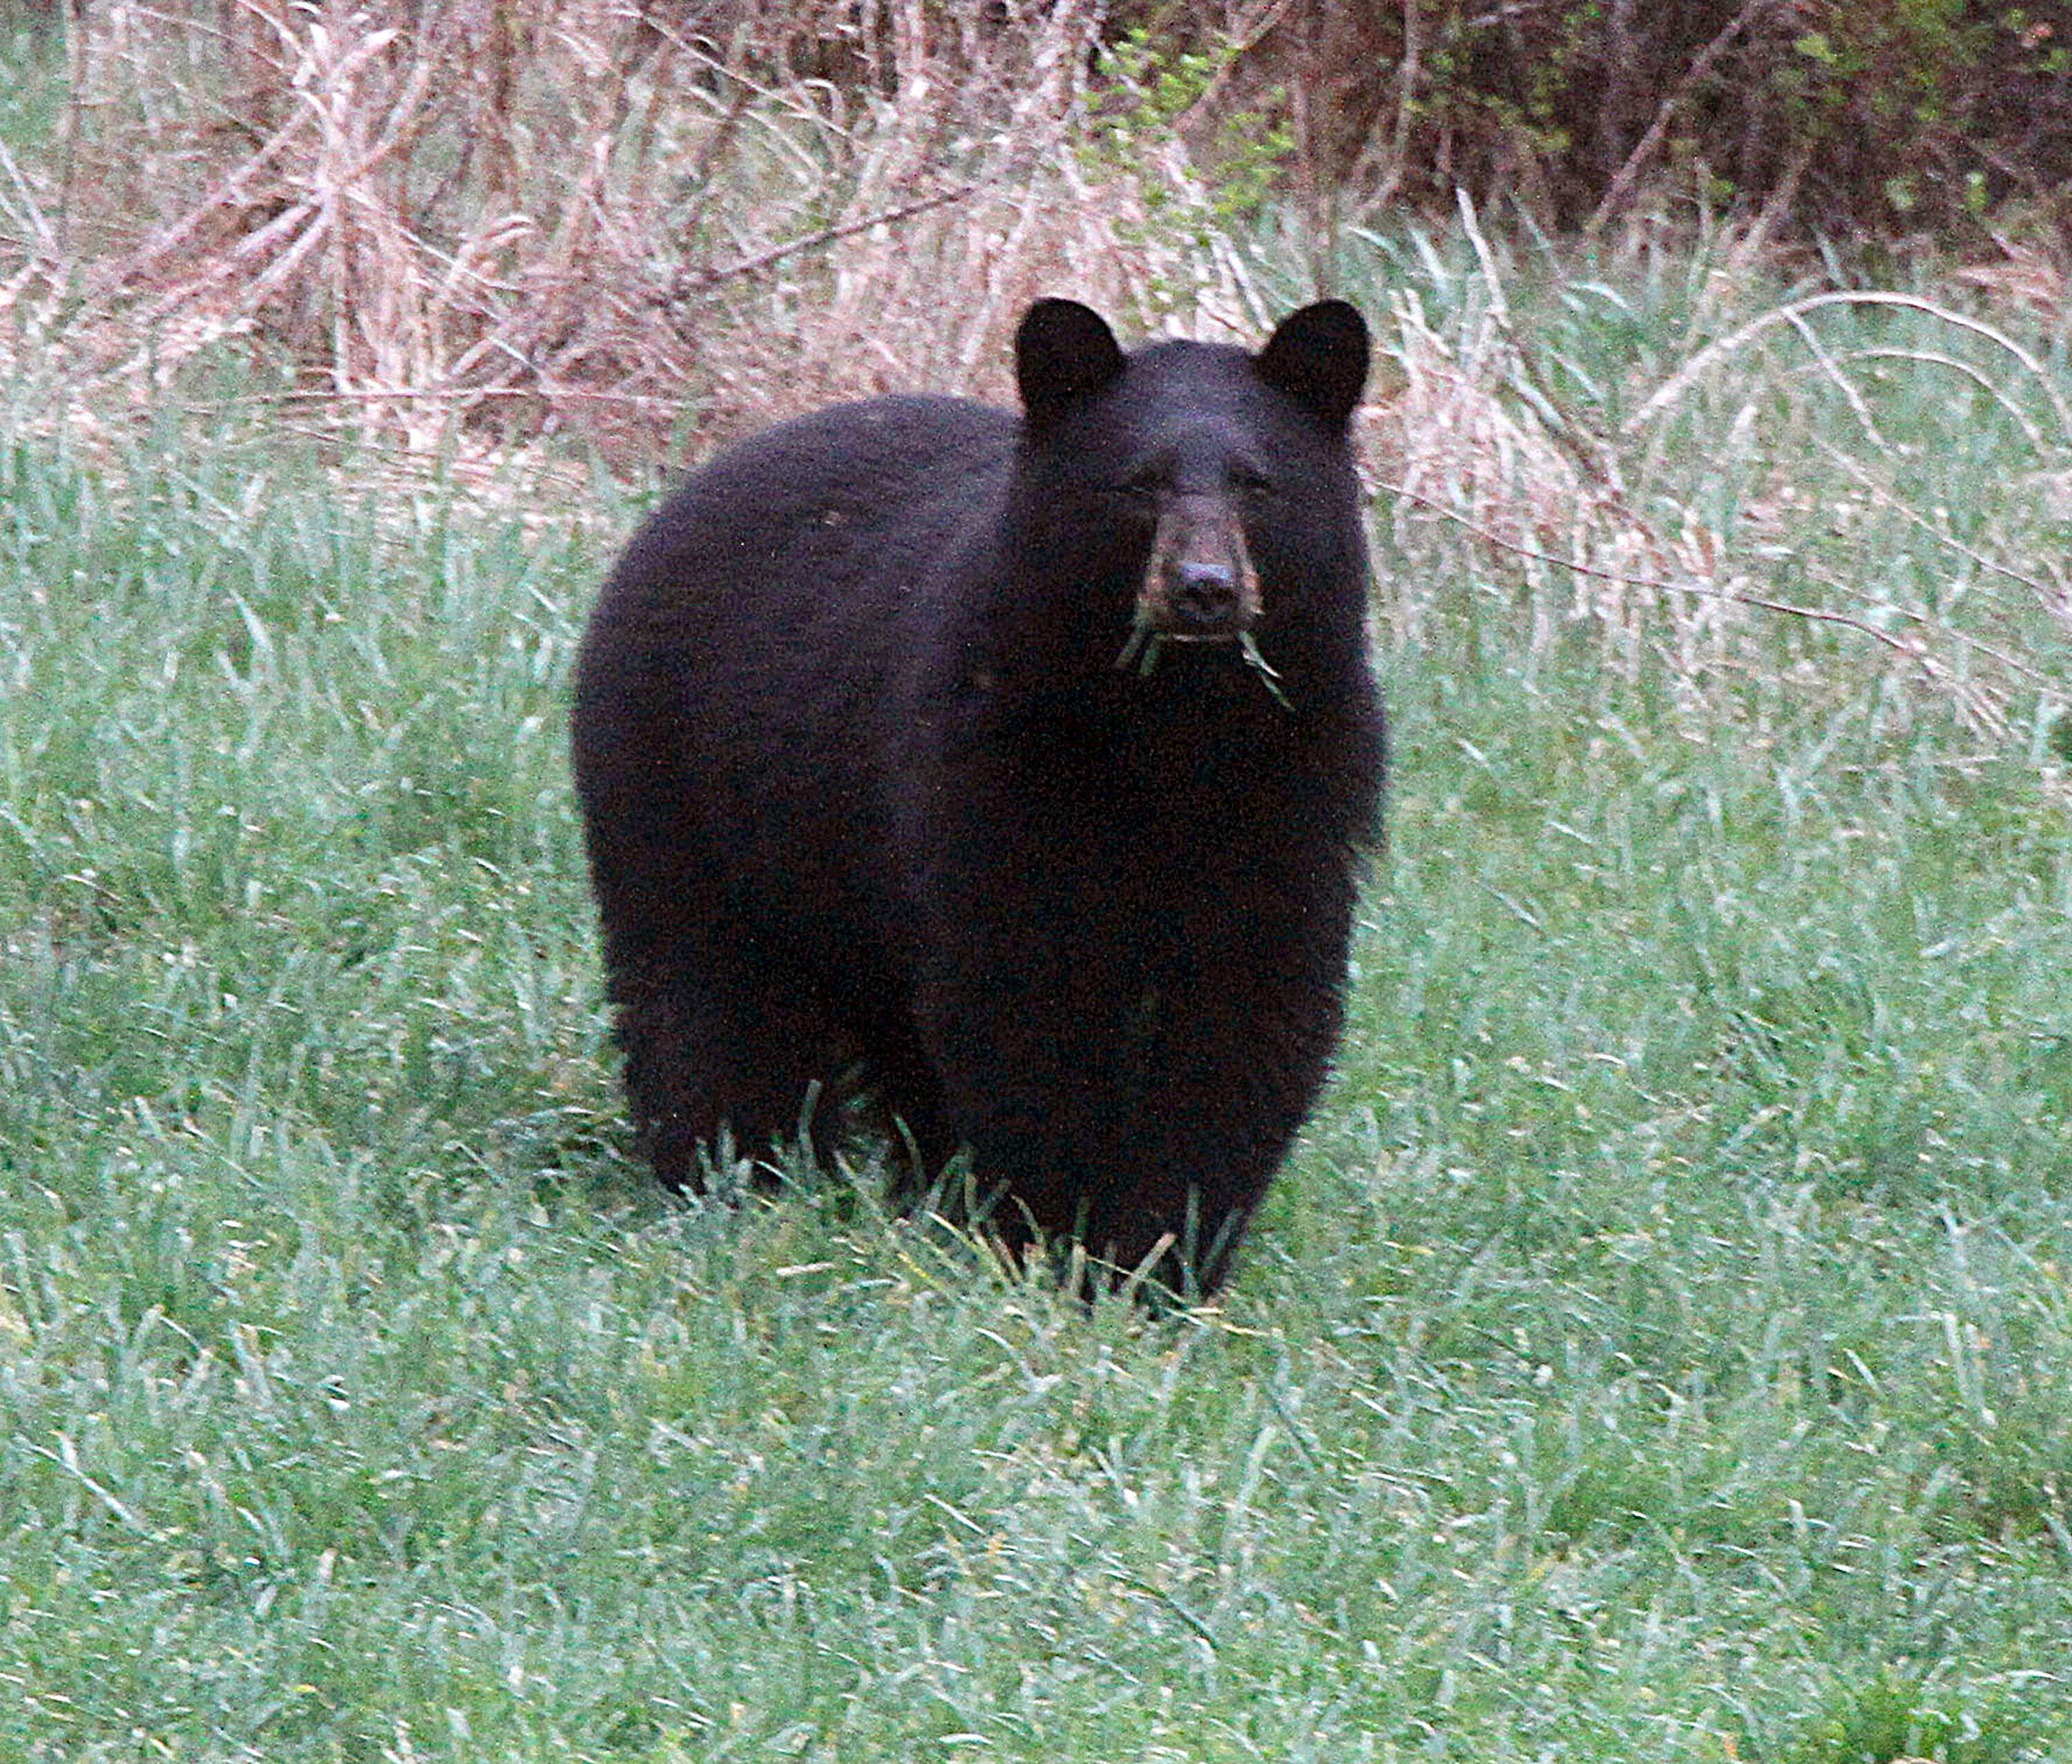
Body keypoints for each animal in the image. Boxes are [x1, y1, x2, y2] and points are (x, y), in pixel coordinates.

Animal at [570, 297, 1386, 1296]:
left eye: (1258, 485)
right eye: (1139, 484)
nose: (1205, 590)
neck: (1172, 730)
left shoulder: (1299, 790)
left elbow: (1247, 1018)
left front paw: (1163, 1260)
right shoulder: (993, 771)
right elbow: (1019, 1003)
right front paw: (1049, 1236)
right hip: (681, 777)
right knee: (702, 988)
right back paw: (733, 1171)